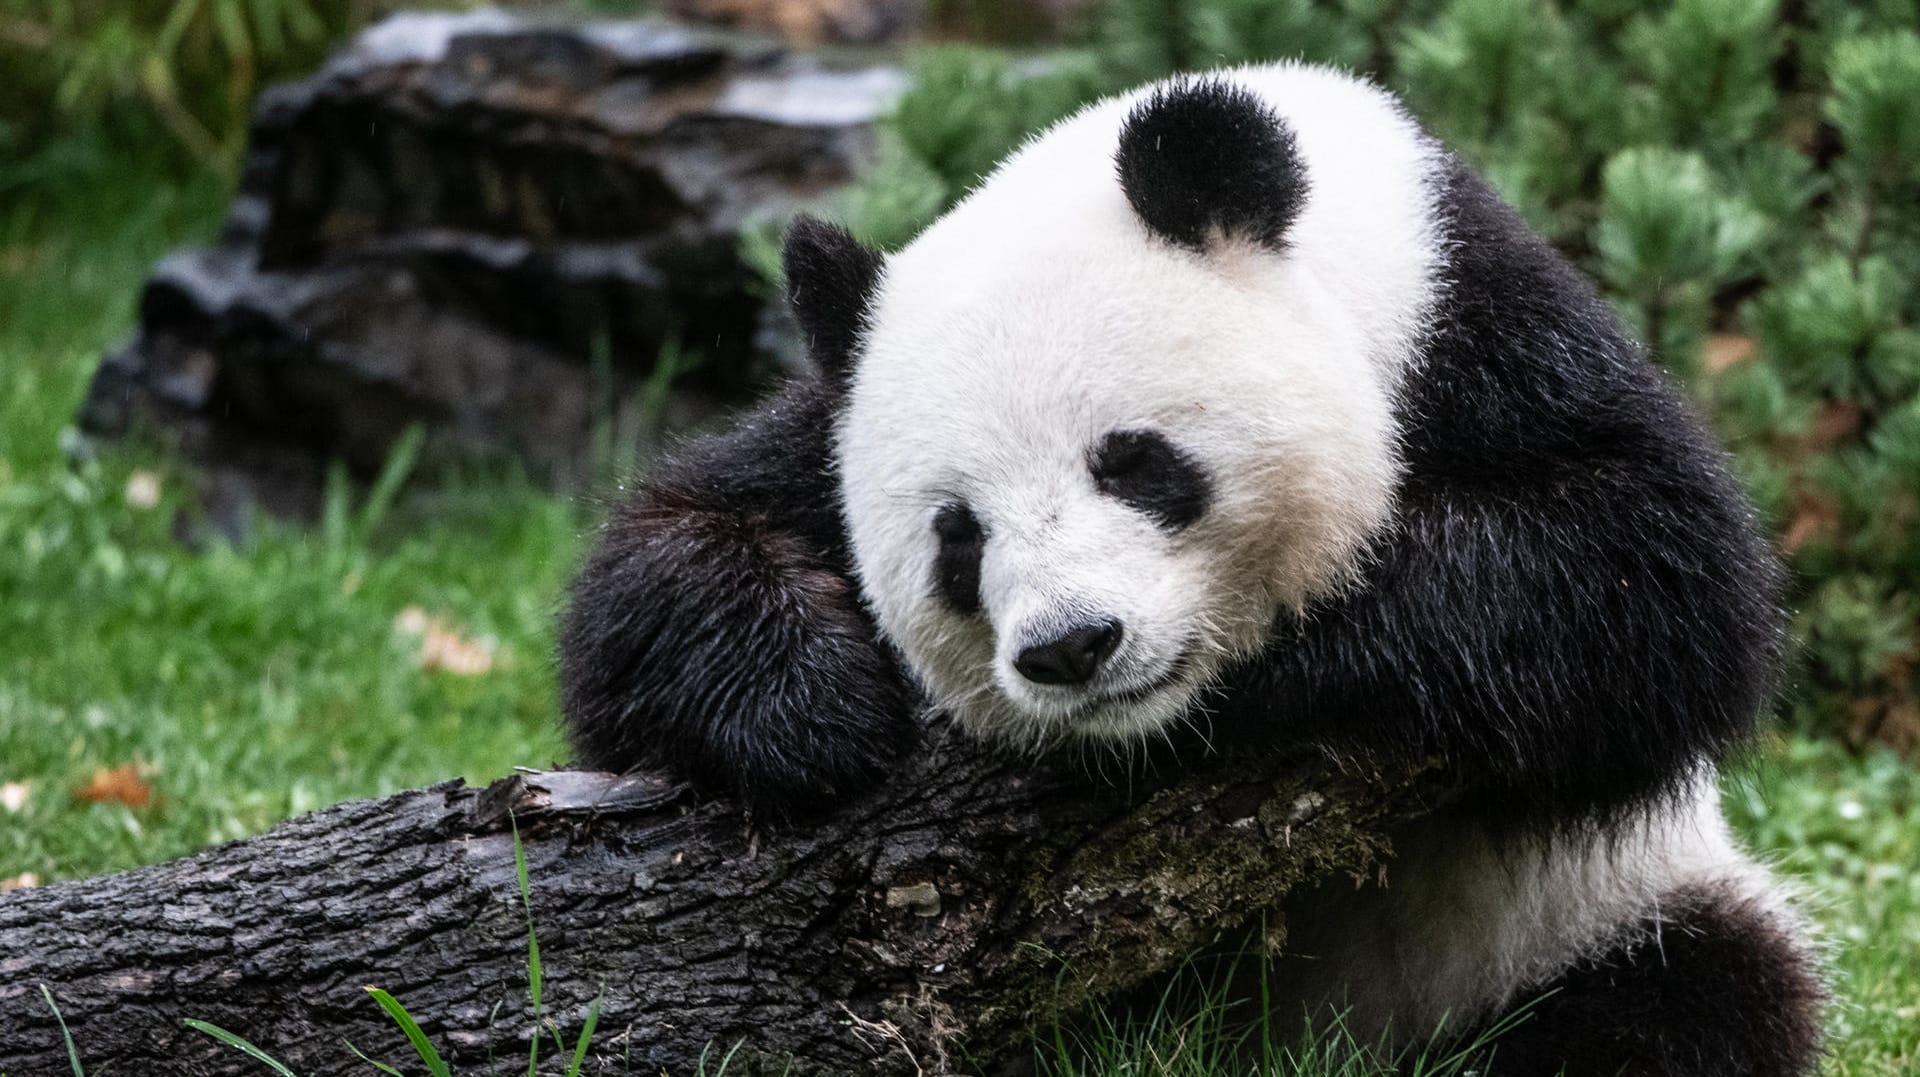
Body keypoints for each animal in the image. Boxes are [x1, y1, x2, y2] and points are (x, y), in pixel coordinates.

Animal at [560, 62, 1827, 1067]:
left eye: (1134, 462)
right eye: (958, 537)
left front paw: (1307, 651)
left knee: (1682, 1004)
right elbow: (651, 574)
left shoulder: (1478, 323)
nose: (1072, 647)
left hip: (1587, 919)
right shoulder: (816, 431)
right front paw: (813, 705)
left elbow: (1660, 577)